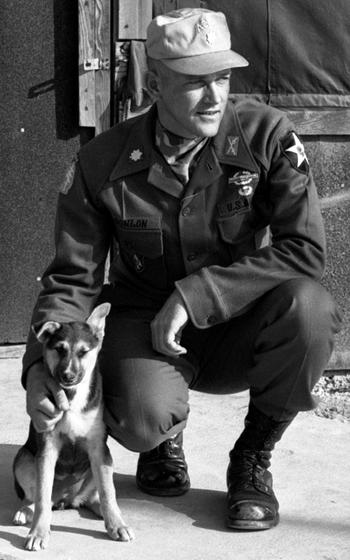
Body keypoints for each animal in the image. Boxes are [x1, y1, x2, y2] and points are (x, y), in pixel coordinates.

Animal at [11, 304, 133, 548]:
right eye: (59, 349)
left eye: (84, 352)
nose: (68, 376)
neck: (71, 396)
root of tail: (67, 499)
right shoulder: (47, 449)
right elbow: (41, 496)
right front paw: (38, 533)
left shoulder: (98, 449)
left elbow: (108, 492)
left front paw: (117, 524)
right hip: (24, 459)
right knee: (37, 497)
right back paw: (26, 511)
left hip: (99, 466)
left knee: (96, 495)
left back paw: (105, 513)